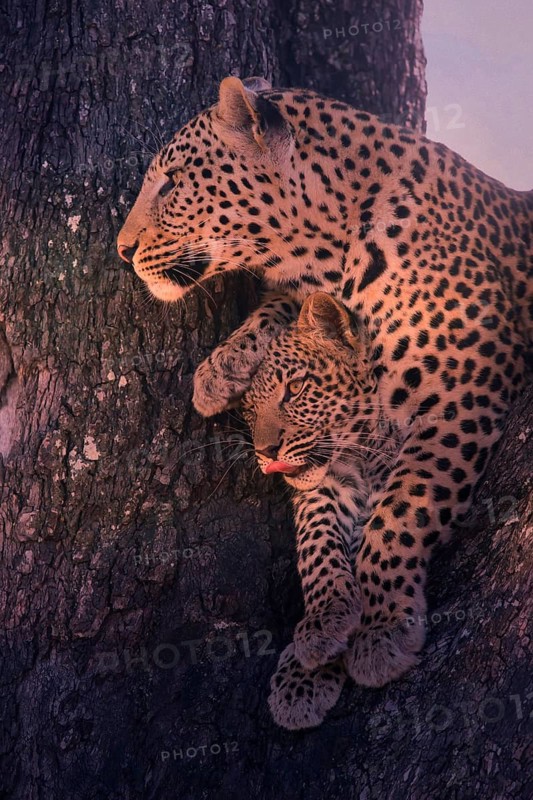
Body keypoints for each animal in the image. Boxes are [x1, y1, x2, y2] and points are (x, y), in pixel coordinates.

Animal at [117, 76, 533, 726]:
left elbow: (400, 511)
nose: (121, 249)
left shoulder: (461, 394)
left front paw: (381, 631)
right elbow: (316, 538)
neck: (332, 245)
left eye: (172, 181)